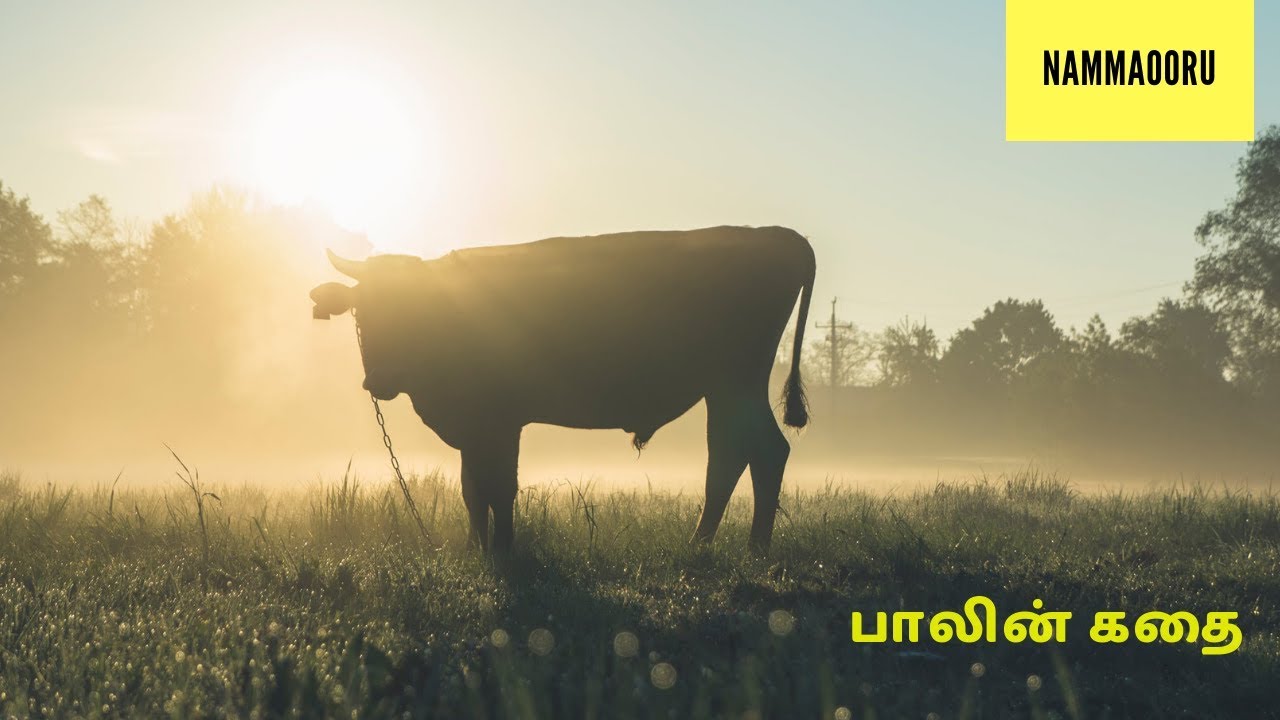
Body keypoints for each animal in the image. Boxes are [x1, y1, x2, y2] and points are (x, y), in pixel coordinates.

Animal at [310, 225, 815, 554]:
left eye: (412, 307)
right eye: (361, 310)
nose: (379, 379)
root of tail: (779, 235)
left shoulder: (499, 422)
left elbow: (499, 486)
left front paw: (503, 550)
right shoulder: (475, 428)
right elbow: (472, 488)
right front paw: (475, 548)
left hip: (737, 382)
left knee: (760, 453)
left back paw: (749, 548)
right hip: (725, 390)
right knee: (734, 456)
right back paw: (709, 543)